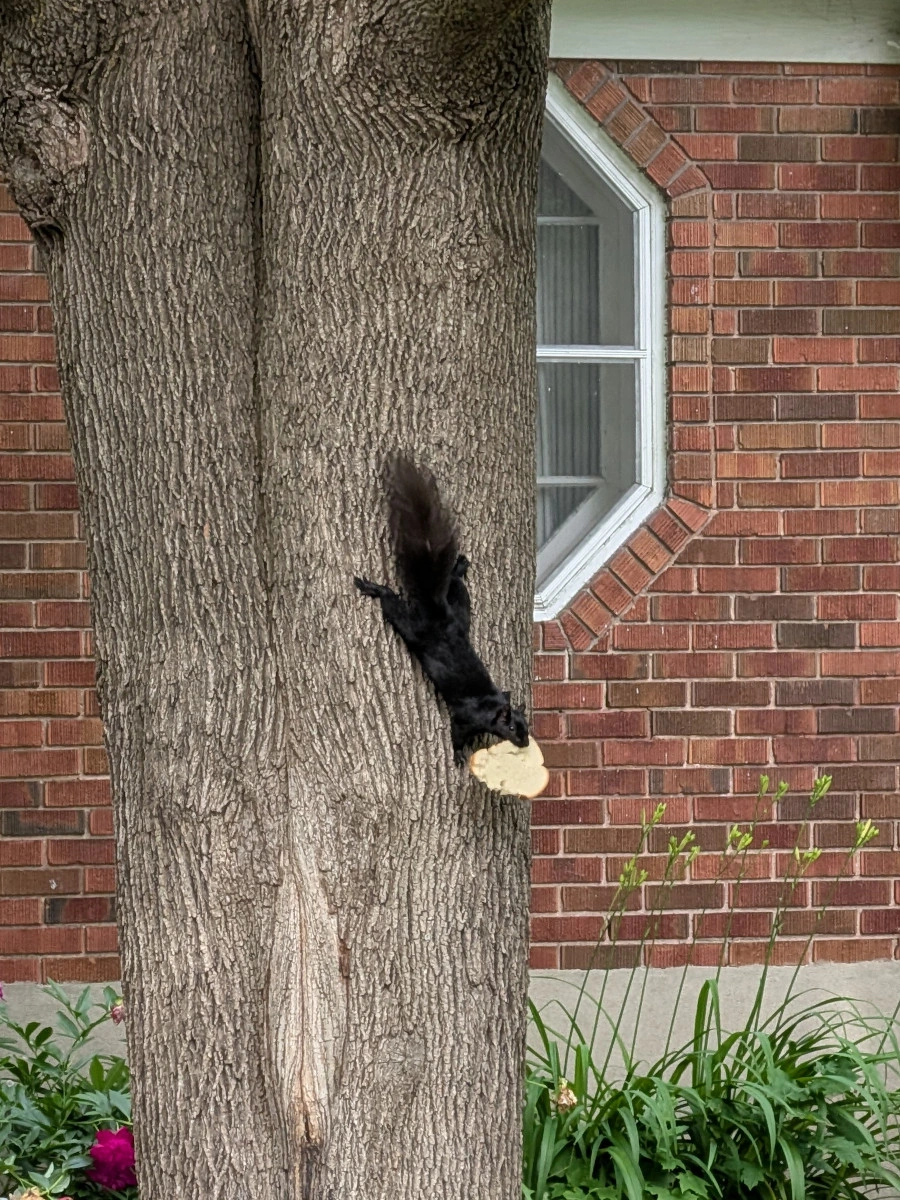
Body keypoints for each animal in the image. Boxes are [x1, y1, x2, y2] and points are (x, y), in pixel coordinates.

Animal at [354, 457, 530, 764]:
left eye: (526, 725)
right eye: (511, 727)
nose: (526, 741)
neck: (490, 705)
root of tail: (437, 609)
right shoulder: (465, 719)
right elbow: (457, 734)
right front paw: (459, 754)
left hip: (461, 609)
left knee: (455, 583)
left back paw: (458, 567)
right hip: (412, 627)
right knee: (391, 601)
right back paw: (373, 588)